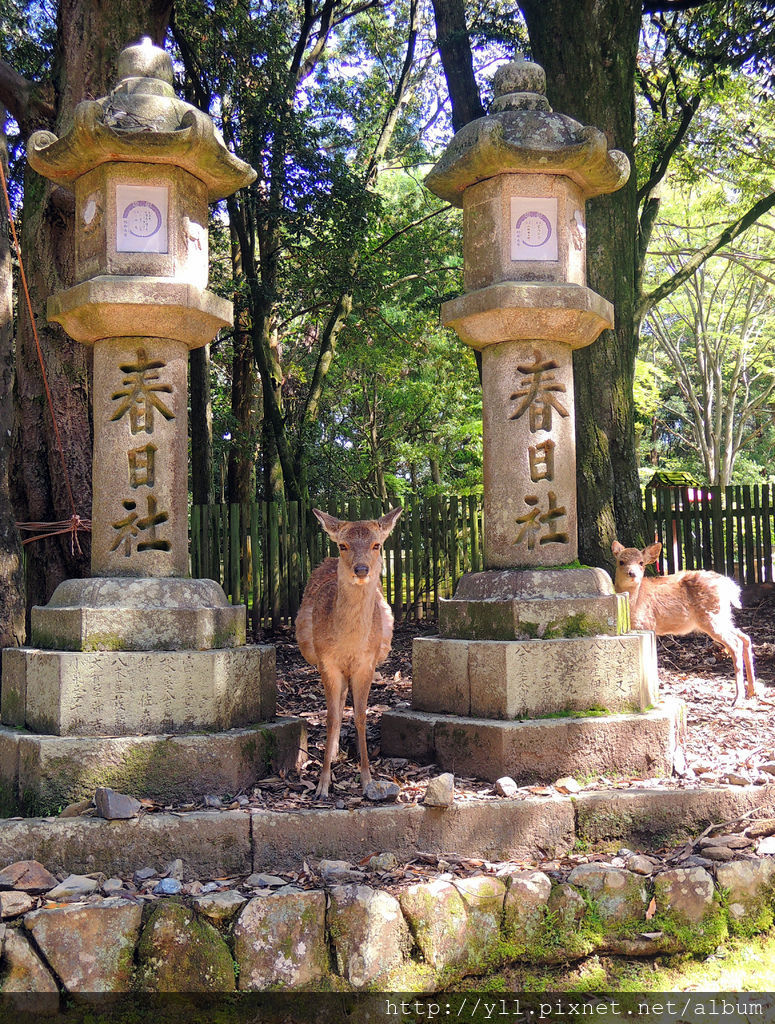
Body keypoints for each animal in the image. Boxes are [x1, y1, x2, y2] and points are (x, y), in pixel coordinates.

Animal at [296, 507, 401, 794]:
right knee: (338, 704)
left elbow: (362, 716)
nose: (361, 568)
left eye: (377, 545)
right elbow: (330, 718)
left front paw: (367, 779)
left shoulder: (368, 662)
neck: (349, 644)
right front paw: (322, 784)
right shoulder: (326, 662)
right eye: (343, 545)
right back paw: (331, 756)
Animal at [614, 540, 753, 708]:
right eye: (621, 561)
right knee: (745, 637)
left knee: (735, 643)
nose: (632, 573)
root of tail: (730, 587)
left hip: (711, 616)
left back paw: (738, 698)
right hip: (723, 616)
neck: (633, 605)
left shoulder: (647, 624)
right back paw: (752, 691)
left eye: (641, 563)